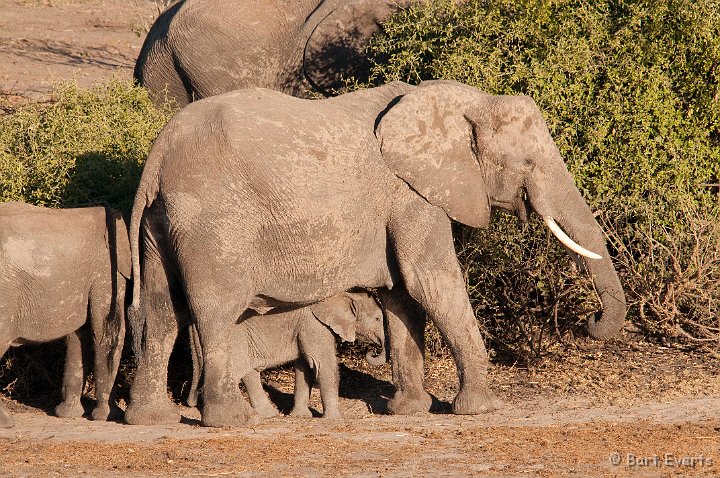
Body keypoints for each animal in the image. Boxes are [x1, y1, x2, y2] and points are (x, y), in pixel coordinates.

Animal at [0, 201, 131, 426]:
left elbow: (78, 336)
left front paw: (68, 414)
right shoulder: (106, 271)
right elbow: (106, 331)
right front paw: (108, 416)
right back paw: (7, 422)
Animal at [188, 288, 386, 418]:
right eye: (377, 318)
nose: (371, 351)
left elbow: (304, 368)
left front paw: (300, 417)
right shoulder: (313, 325)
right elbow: (321, 364)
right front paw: (334, 419)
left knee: (249, 373)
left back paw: (269, 415)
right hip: (233, 341)